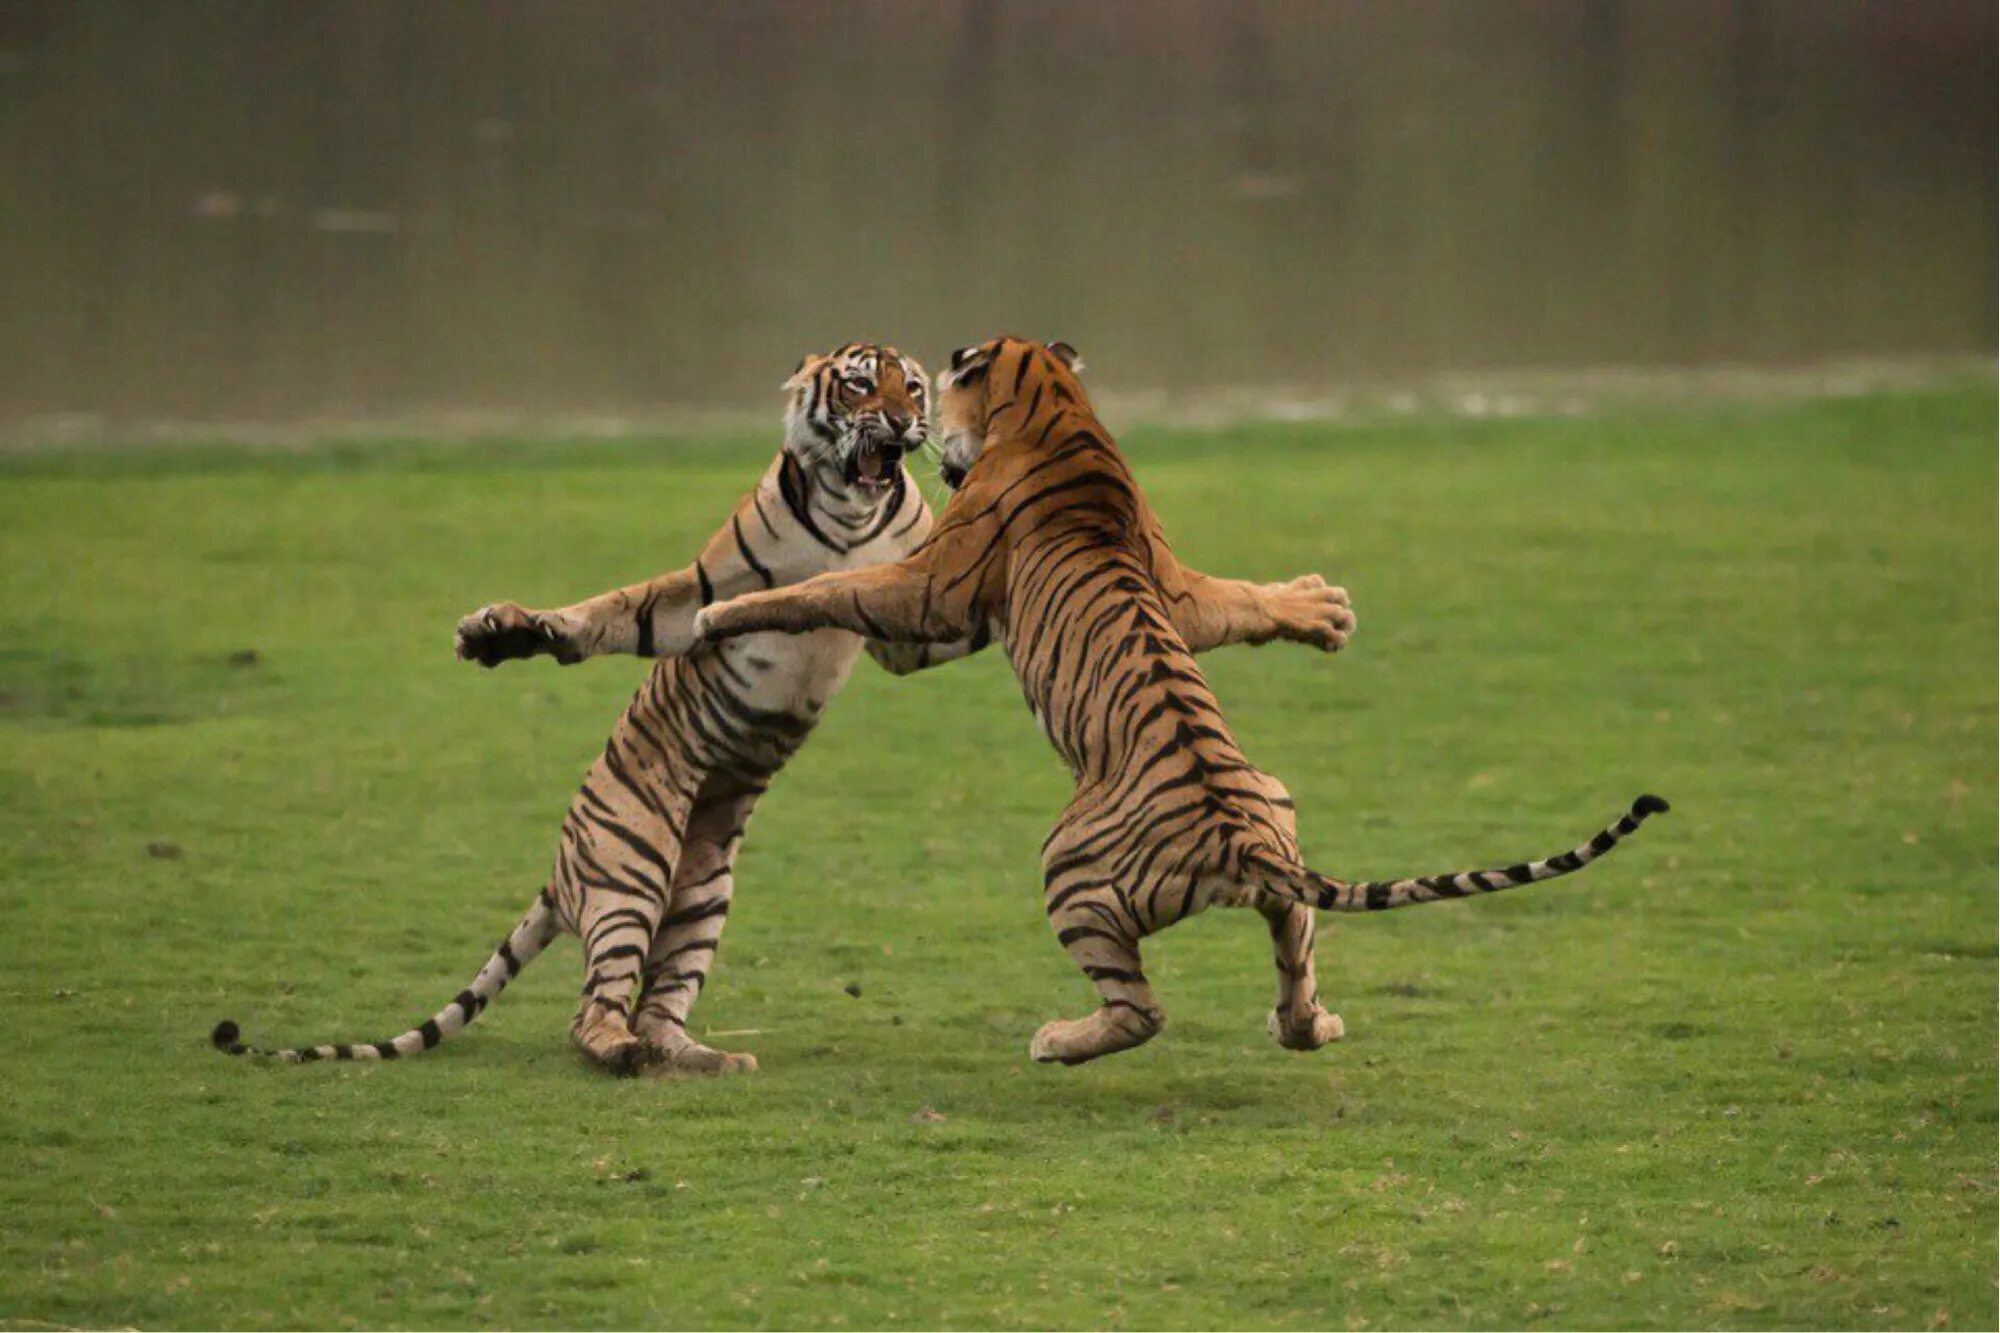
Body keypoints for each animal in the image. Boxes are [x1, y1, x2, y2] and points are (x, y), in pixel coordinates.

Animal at [211, 340, 1352, 1072]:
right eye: (858, 382)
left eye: (910, 384)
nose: (901, 420)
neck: (1062, 421)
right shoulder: (908, 596)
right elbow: (637, 611)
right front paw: (507, 631)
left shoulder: (923, 606)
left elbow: (814, 593)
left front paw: (1320, 607)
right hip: (645, 868)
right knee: (604, 1007)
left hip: (738, 888)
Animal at [696, 338, 1664, 1064]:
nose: (918, 436)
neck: (1057, 408)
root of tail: (1244, 844)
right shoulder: (1180, 589)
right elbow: (1238, 602)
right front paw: (1322, 608)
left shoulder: (932, 589)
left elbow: (823, 589)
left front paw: (718, 613)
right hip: (1280, 825)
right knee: (1294, 947)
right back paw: (1310, 1024)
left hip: (1067, 863)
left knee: (1141, 1010)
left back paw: (1057, 1040)